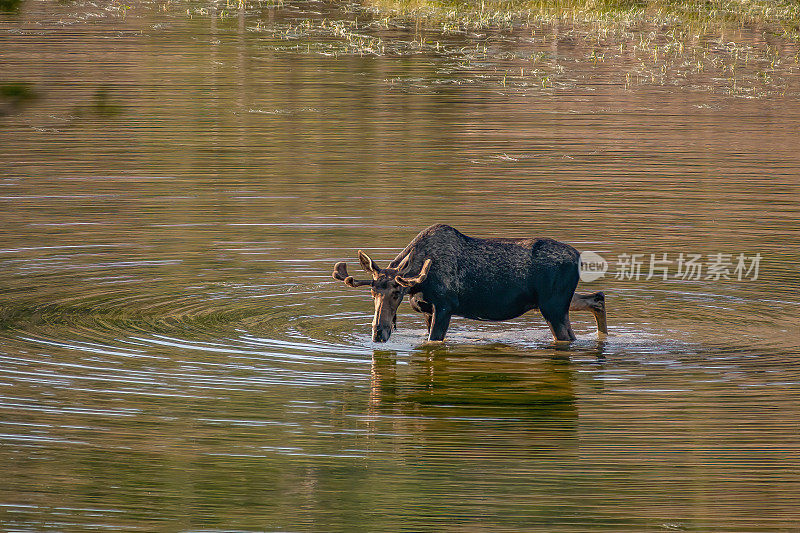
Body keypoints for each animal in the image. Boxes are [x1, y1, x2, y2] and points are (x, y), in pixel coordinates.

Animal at [332, 223, 608, 340]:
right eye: (372, 293)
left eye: (397, 293)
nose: (379, 333)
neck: (420, 283)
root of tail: (578, 257)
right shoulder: (427, 310)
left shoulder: (445, 306)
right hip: (555, 302)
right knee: (597, 298)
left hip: (553, 306)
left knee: (569, 335)